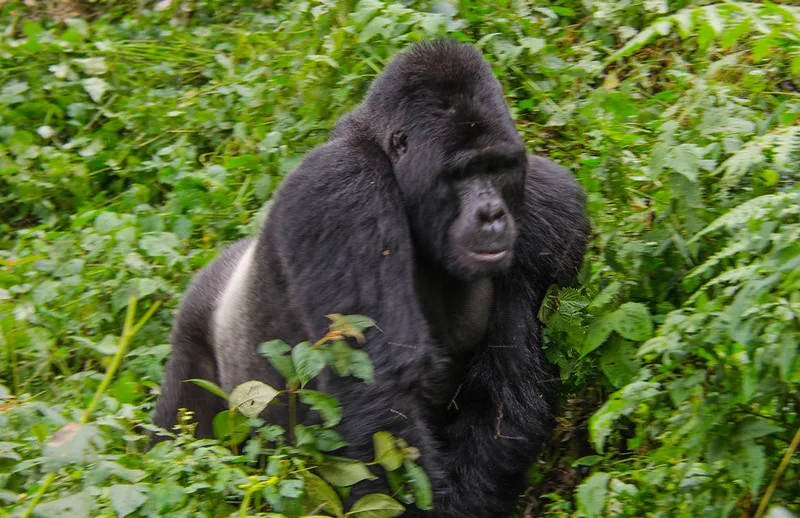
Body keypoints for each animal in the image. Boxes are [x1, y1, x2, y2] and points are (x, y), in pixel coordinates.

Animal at [155, 41, 588, 518]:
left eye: (497, 168)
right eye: (461, 173)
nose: (492, 214)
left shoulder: (552, 211)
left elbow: (509, 392)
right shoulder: (345, 189)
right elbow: (378, 400)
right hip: (195, 328)